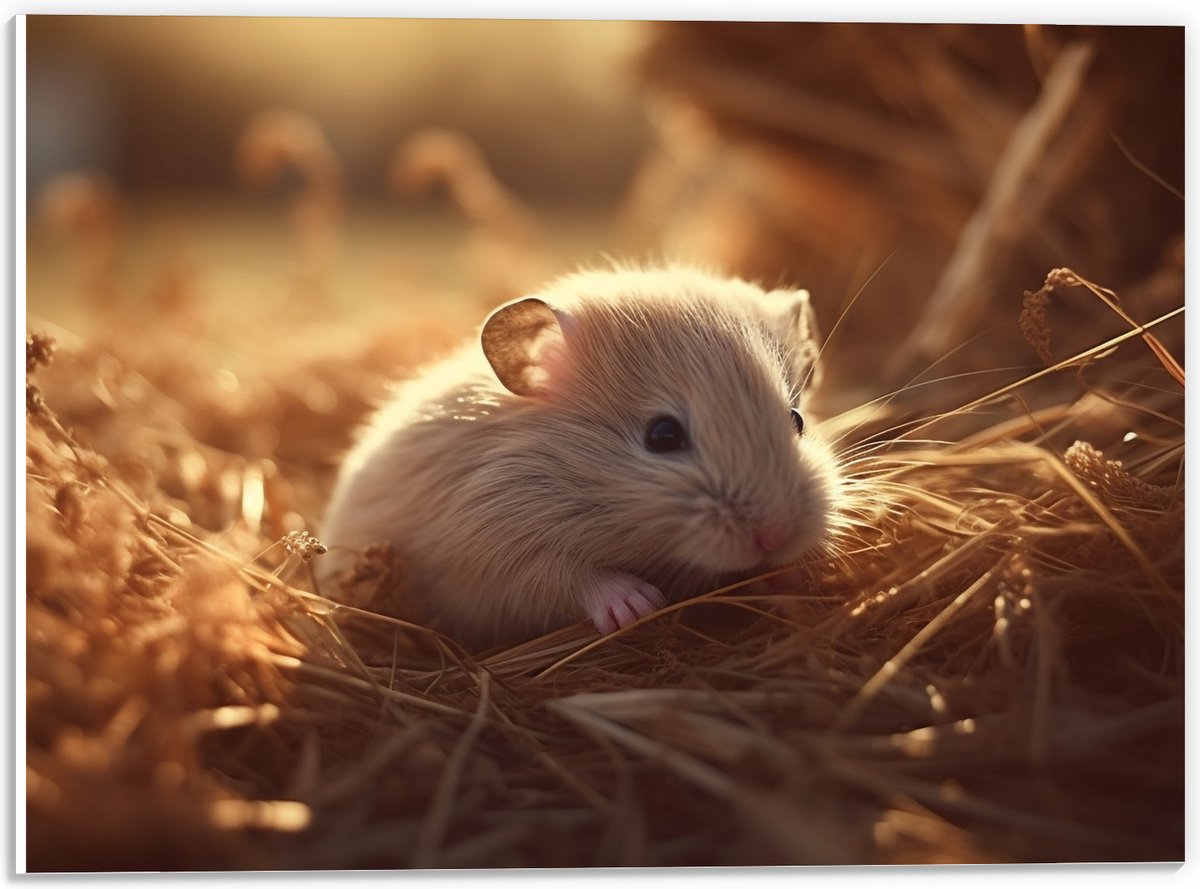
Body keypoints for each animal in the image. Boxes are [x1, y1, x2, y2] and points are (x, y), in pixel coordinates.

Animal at [318, 265, 839, 650]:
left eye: (797, 419)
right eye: (662, 435)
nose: (775, 537)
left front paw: (794, 577)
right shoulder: (492, 554)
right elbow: (570, 576)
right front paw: (640, 605)